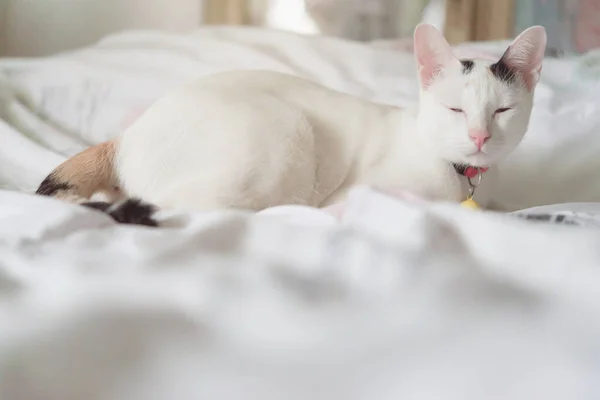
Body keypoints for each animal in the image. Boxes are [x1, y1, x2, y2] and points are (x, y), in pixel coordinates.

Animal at [35, 24, 548, 225]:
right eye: (455, 110)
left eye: (501, 111)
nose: (479, 136)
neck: (460, 177)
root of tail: (128, 136)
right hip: (282, 134)